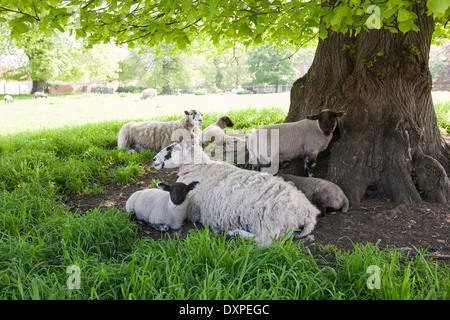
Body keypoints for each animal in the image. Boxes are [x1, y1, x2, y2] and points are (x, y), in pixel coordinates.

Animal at [153, 142, 322, 245]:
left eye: (170, 149)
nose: (154, 159)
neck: (201, 170)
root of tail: (308, 212)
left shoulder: (189, 208)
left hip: (267, 222)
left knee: (264, 241)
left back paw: (233, 233)